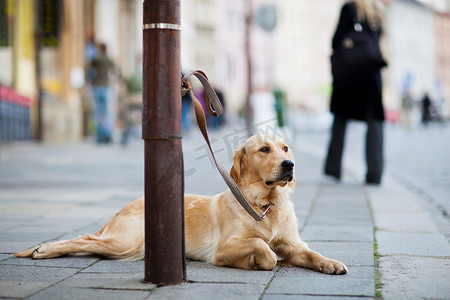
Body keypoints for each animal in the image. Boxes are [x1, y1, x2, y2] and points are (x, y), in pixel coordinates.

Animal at [14, 135, 346, 276]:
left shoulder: (292, 243)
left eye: (286, 148)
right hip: (129, 242)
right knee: (84, 240)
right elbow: (263, 249)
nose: (290, 165)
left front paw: (331, 263)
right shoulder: (225, 246)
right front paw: (254, 262)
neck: (266, 203)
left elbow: (311, 253)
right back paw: (44, 249)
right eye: (264, 149)